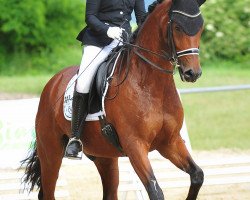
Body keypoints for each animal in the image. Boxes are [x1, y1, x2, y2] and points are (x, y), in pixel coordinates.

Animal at [21, 0, 206, 199]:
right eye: (178, 27)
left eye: (201, 27)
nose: (193, 73)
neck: (150, 85)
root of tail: (52, 83)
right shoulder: (135, 146)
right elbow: (155, 191)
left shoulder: (170, 142)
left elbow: (197, 175)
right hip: (51, 153)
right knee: (48, 191)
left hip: (104, 157)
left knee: (109, 192)